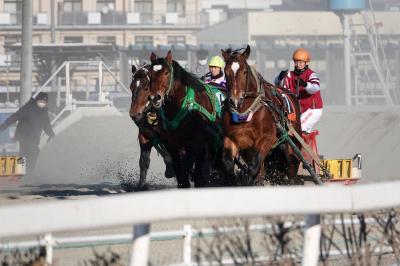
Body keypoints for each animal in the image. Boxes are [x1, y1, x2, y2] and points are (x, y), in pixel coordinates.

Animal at [147, 51, 222, 187]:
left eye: (167, 72)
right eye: (150, 73)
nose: (154, 97)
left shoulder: (196, 141)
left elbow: (186, 167)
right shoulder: (171, 144)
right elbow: (179, 169)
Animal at [219, 45, 304, 185]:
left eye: (245, 71)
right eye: (226, 72)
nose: (235, 100)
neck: (245, 112)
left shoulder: (266, 139)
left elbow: (253, 168)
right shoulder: (231, 138)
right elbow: (227, 165)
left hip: (292, 140)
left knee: (292, 163)